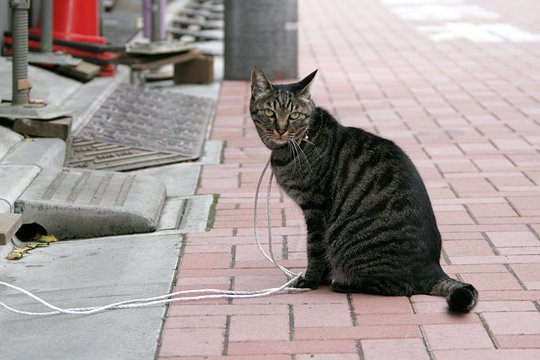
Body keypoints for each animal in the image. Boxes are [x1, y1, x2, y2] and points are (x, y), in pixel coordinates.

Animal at [249, 65, 476, 312]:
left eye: (294, 116)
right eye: (270, 113)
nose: (281, 130)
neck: (296, 146)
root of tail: (433, 269)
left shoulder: (316, 208)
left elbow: (315, 250)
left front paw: (310, 281)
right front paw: (322, 277)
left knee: (399, 287)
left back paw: (344, 282)